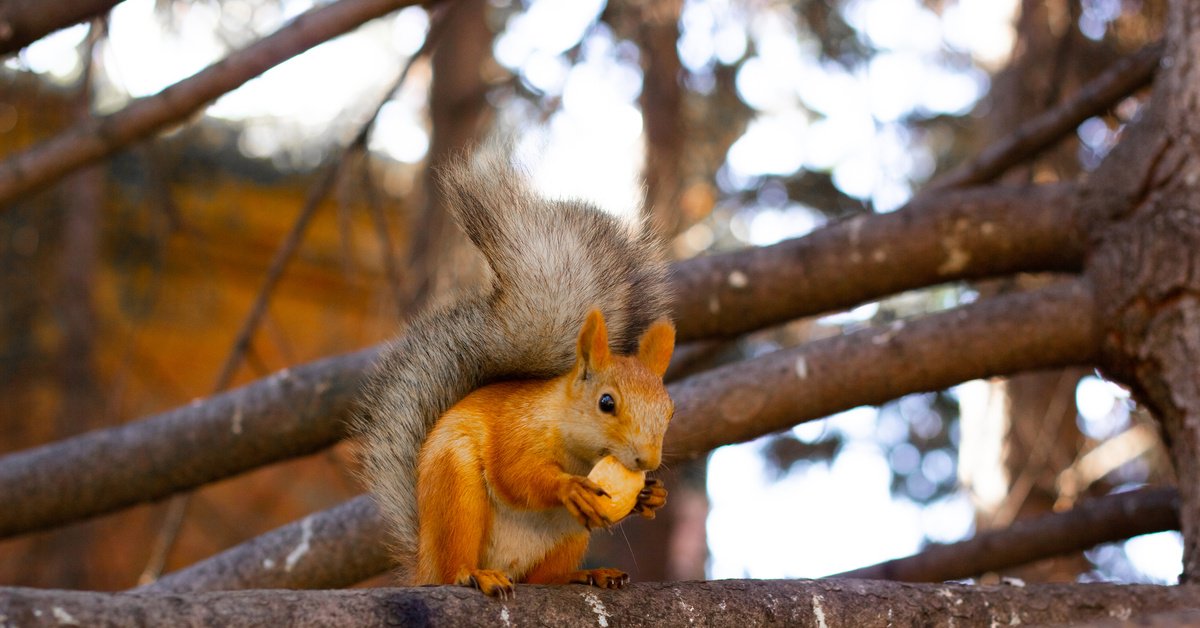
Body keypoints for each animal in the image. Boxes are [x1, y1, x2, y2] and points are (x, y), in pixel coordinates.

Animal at [352, 151, 676, 600]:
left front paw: (651, 495)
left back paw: (586, 575)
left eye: (670, 411)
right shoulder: (516, 428)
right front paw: (566, 487)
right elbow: (514, 475)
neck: (579, 449)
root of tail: (425, 563)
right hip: (457, 495)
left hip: (569, 536)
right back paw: (474, 575)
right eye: (606, 403)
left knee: (542, 578)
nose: (648, 460)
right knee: (457, 561)